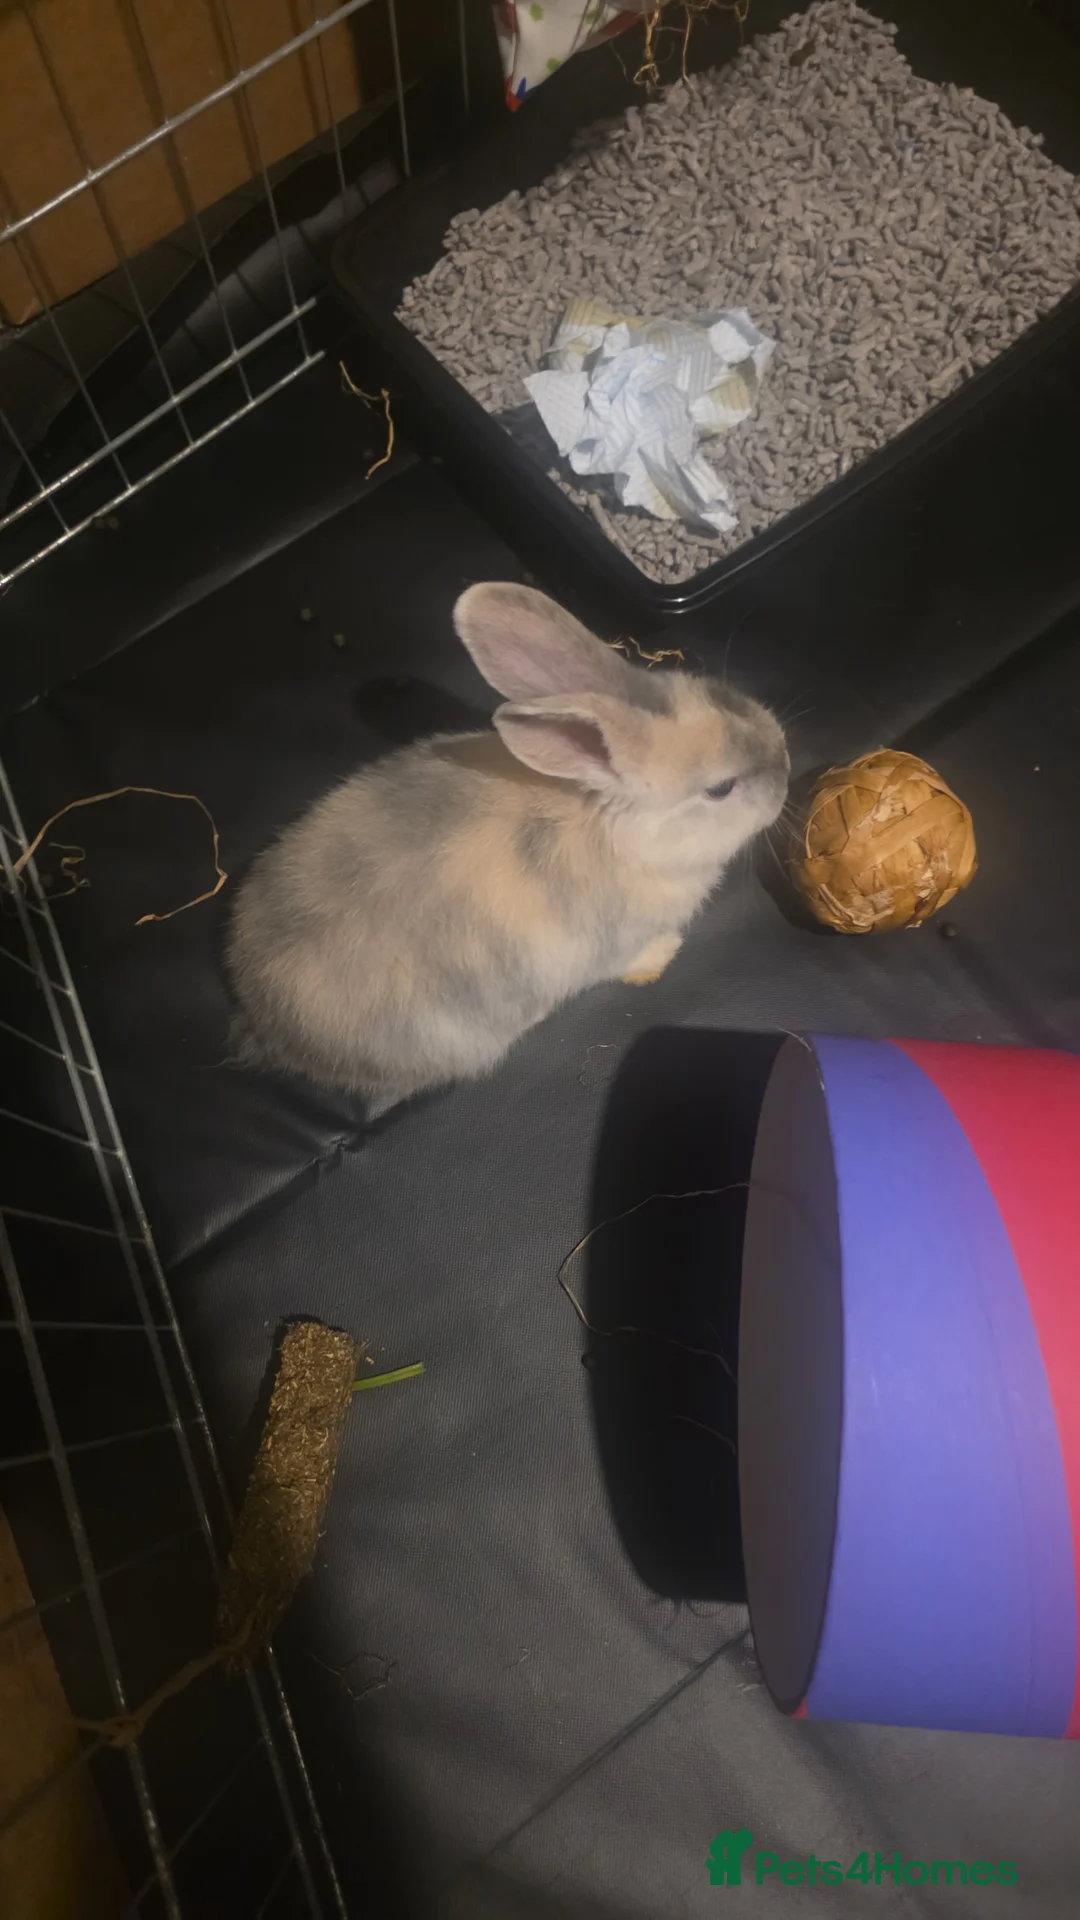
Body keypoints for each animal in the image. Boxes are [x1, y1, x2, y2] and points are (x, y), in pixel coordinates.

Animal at [226, 582, 789, 1114]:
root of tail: (267, 1026)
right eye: (720, 789)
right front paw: (663, 956)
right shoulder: (613, 941)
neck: (609, 823)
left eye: (725, 692)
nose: (785, 768)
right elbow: (627, 960)